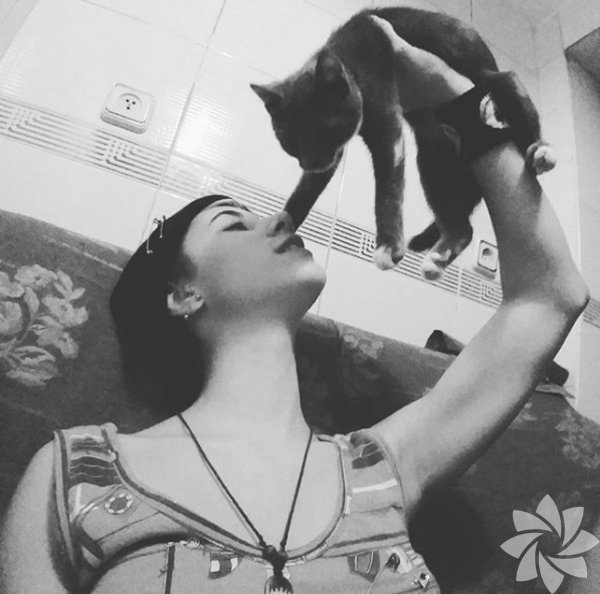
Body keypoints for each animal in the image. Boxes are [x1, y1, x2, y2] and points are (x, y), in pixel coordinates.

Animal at [251, 7, 555, 279]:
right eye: (290, 142)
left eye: (323, 132)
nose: (310, 162)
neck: (345, 53)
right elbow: (308, 188)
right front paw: (284, 221)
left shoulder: (384, 113)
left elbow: (388, 185)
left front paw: (388, 245)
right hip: (435, 161)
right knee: (462, 227)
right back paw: (437, 256)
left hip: (491, 80)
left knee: (512, 88)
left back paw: (540, 151)